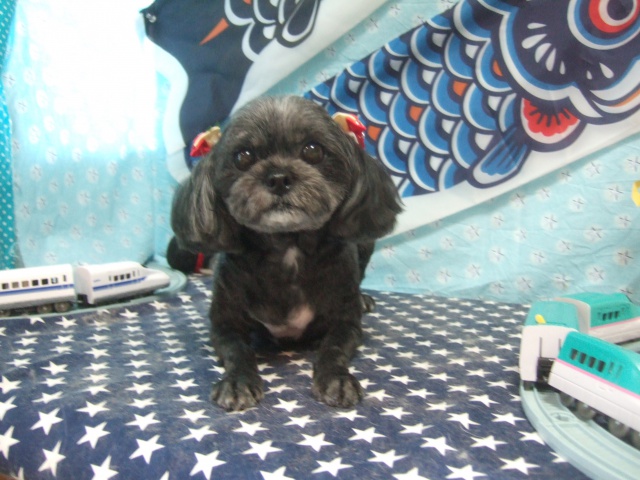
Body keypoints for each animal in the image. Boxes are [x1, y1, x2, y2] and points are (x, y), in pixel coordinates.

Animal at [171, 95, 402, 411]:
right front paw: (238, 382)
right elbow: (238, 352)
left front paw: (336, 379)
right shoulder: (223, 325)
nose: (278, 178)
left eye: (313, 150)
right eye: (243, 157)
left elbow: (333, 349)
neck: (287, 247)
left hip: (365, 244)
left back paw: (364, 298)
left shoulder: (347, 323)